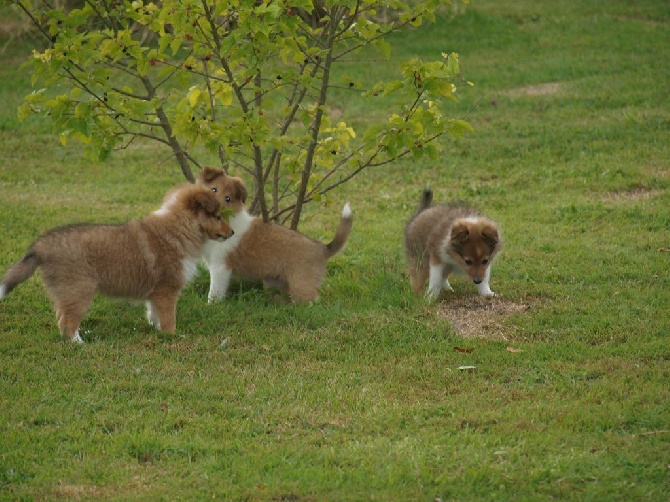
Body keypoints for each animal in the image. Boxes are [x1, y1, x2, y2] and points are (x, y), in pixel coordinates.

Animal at [0, 182, 234, 344]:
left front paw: (159, 333)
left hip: (68, 292)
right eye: (218, 216)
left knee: (61, 317)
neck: (180, 227)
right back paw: (79, 344)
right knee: (66, 321)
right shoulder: (167, 290)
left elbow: (154, 315)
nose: (232, 233)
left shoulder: (157, 293)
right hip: (79, 290)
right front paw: (173, 337)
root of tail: (40, 246)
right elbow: (169, 319)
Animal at [194, 168, 354, 302]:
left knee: (311, 301)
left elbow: (214, 293)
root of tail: (322, 248)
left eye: (228, 199)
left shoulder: (220, 267)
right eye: (213, 189)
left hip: (301, 281)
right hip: (275, 281)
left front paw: (210, 306)